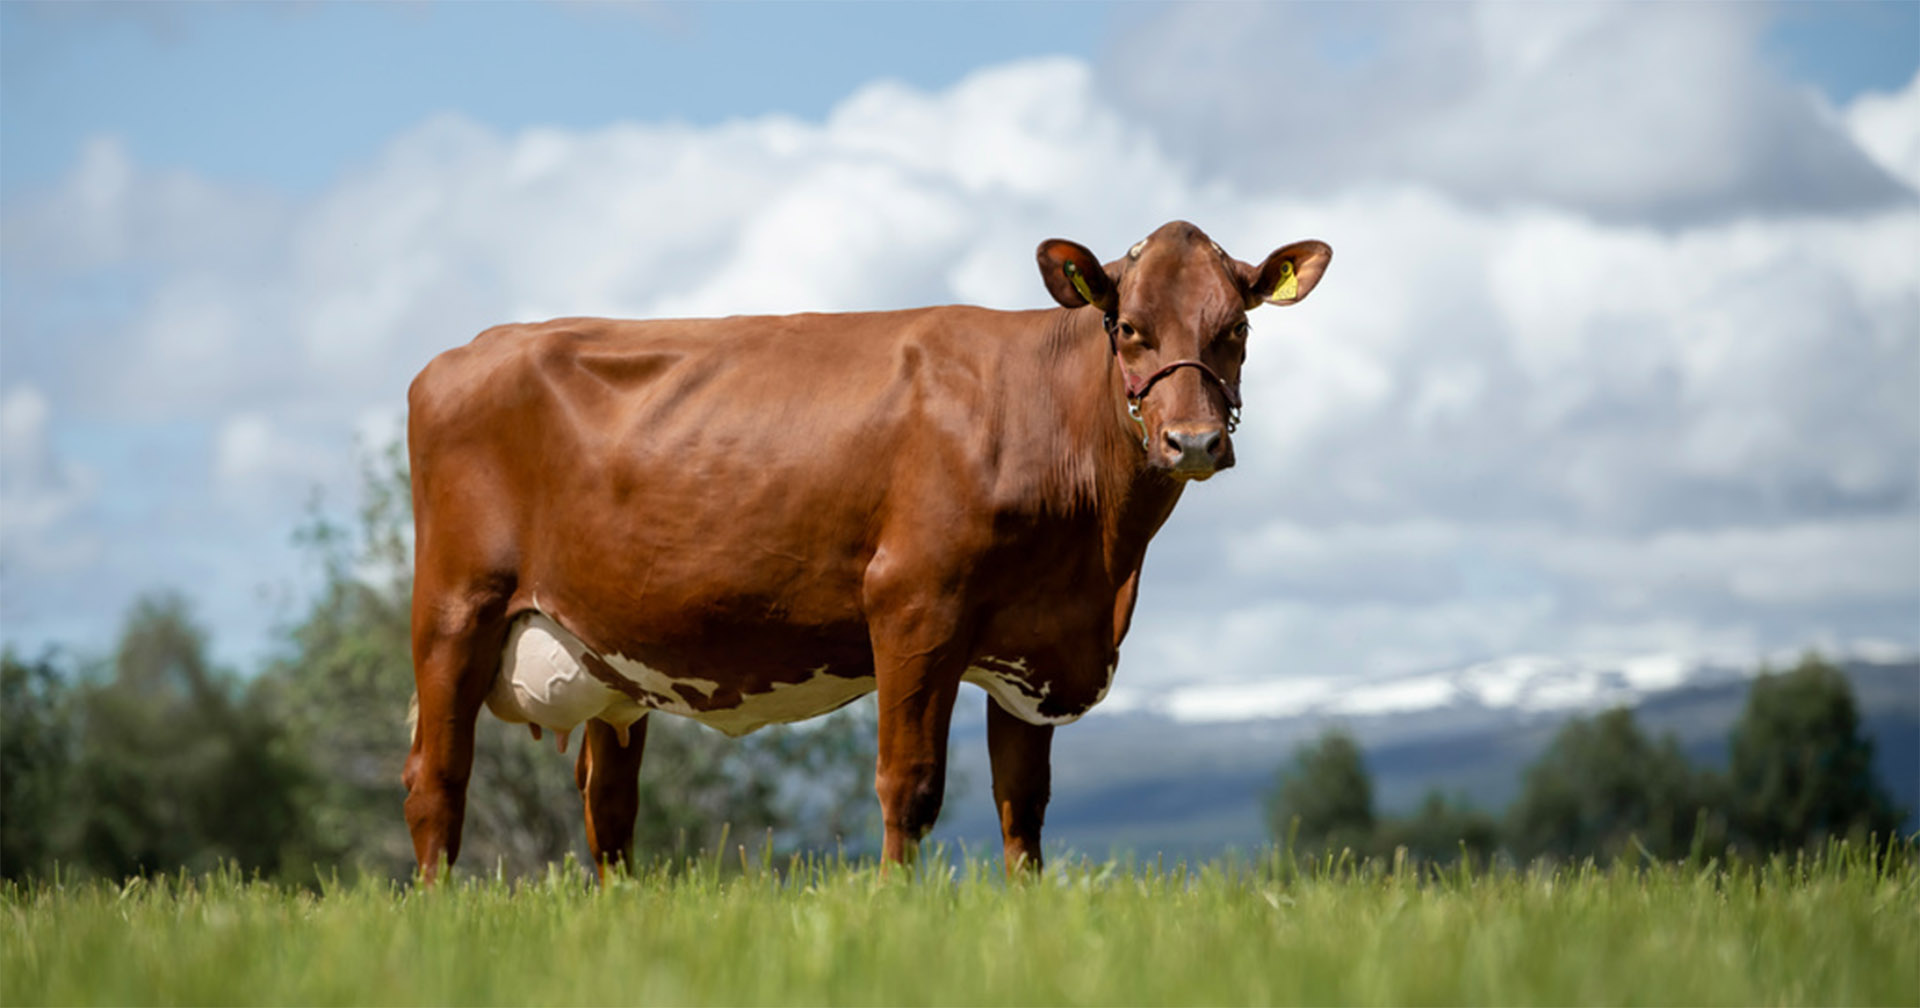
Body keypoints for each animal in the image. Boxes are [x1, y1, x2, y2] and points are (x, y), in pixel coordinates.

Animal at [401, 217, 1336, 871]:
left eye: (1236, 329)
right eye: (1130, 326)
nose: (1194, 442)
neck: (1101, 569)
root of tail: (464, 353)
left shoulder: (1033, 648)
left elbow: (1023, 805)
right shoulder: (915, 605)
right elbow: (908, 785)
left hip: (610, 661)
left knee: (608, 813)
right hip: (454, 611)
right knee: (435, 783)